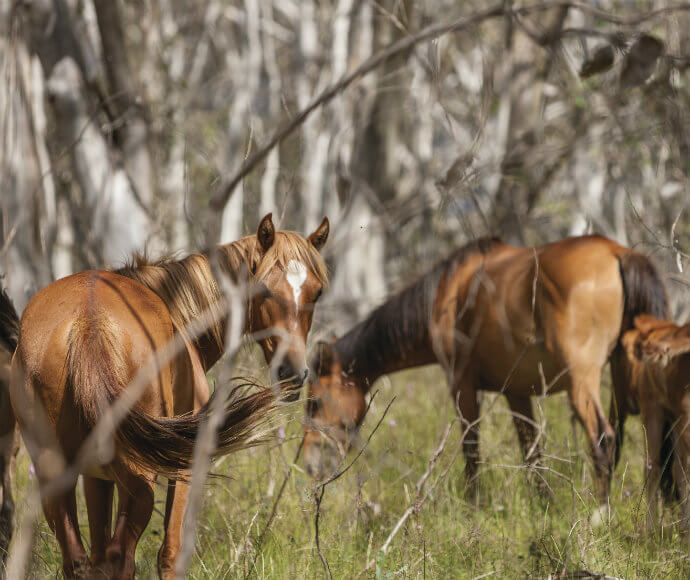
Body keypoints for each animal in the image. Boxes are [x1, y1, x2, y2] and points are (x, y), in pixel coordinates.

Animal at [5, 215, 328, 580]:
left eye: (317, 292)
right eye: (264, 289)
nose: (293, 372)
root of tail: (87, 321)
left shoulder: (95, 477)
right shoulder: (187, 463)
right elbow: (170, 555)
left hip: (55, 473)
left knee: (79, 561)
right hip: (140, 479)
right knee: (121, 557)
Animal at [304, 236, 664, 520]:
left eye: (315, 402)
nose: (309, 462)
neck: (449, 290)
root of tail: (618, 253)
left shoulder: (461, 383)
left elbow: (471, 449)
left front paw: (472, 508)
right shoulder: (518, 392)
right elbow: (532, 452)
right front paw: (544, 505)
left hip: (582, 381)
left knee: (603, 438)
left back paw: (599, 515)